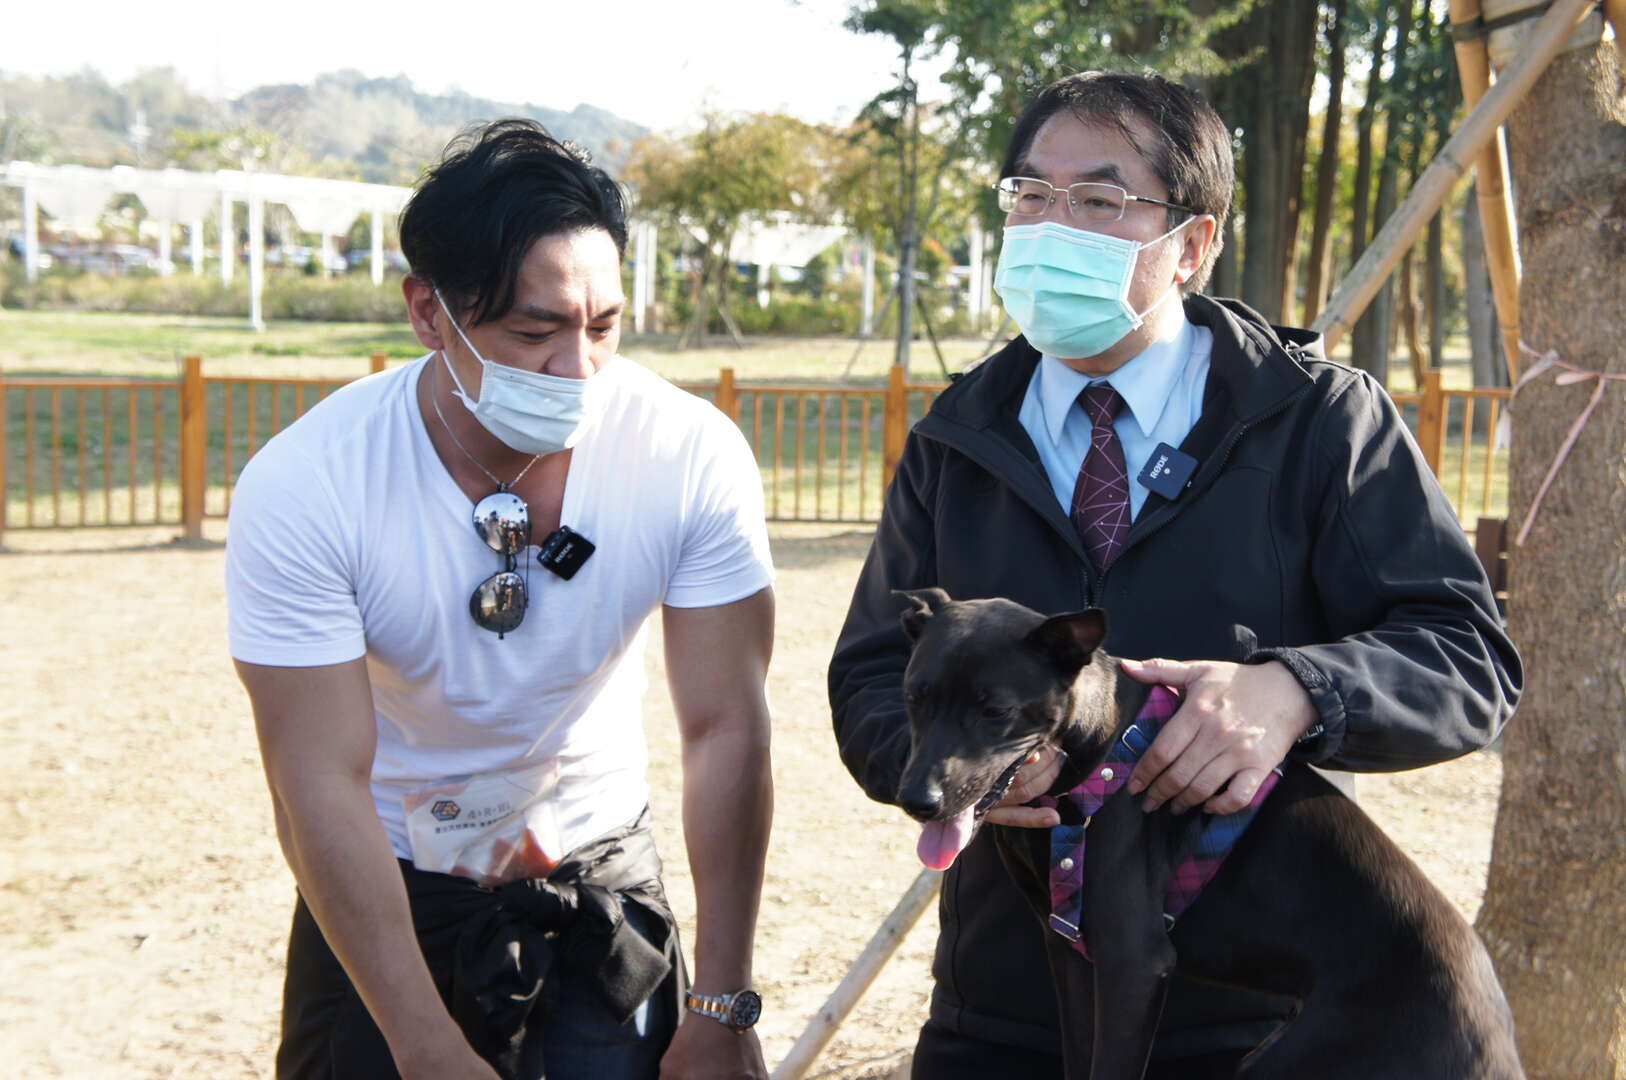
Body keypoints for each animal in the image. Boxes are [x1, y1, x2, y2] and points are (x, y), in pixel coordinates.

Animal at [891, 592, 1521, 1080]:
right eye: (915, 697)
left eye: (994, 711)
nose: (917, 802)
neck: (1097, 743)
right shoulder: (1066, 948)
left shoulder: (1133, 966)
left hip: (1284, 1061)